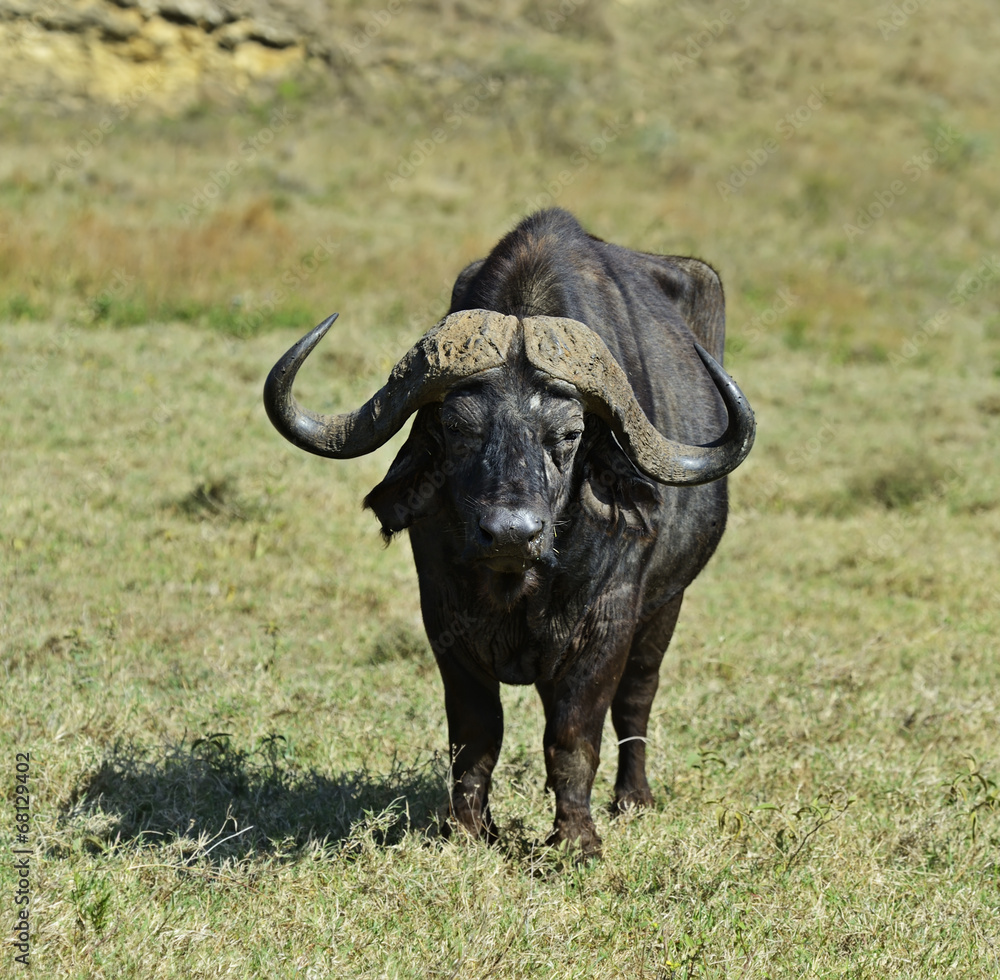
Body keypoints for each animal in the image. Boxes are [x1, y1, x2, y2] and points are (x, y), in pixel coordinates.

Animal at [264, 208, 755, 856]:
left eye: (569, 434)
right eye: (457, 427)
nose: (511, 534)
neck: (518, 584)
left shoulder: (607, 624)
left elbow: (573, 735)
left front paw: (575, 840)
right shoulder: (443, 618)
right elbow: (477, 735)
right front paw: (469, 830)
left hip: (666, 605)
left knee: (637, 698)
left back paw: (633, 798)